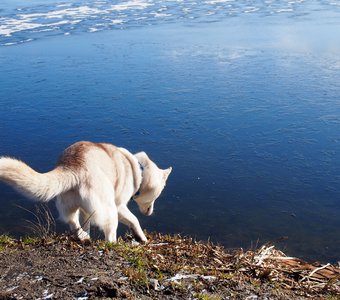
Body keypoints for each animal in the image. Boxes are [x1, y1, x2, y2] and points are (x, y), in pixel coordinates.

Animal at [0, 142, 171, 243]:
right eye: (157, 195)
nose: (150, 212)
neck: (139, 170)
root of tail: (73, 166)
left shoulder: (86, 210)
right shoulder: (120, 207)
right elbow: (135, 220)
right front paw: (142, 238)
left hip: (70, 205)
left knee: (73, 222)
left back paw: (84, 237)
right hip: (110, 211)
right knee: (109, 235)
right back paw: (113, 244)